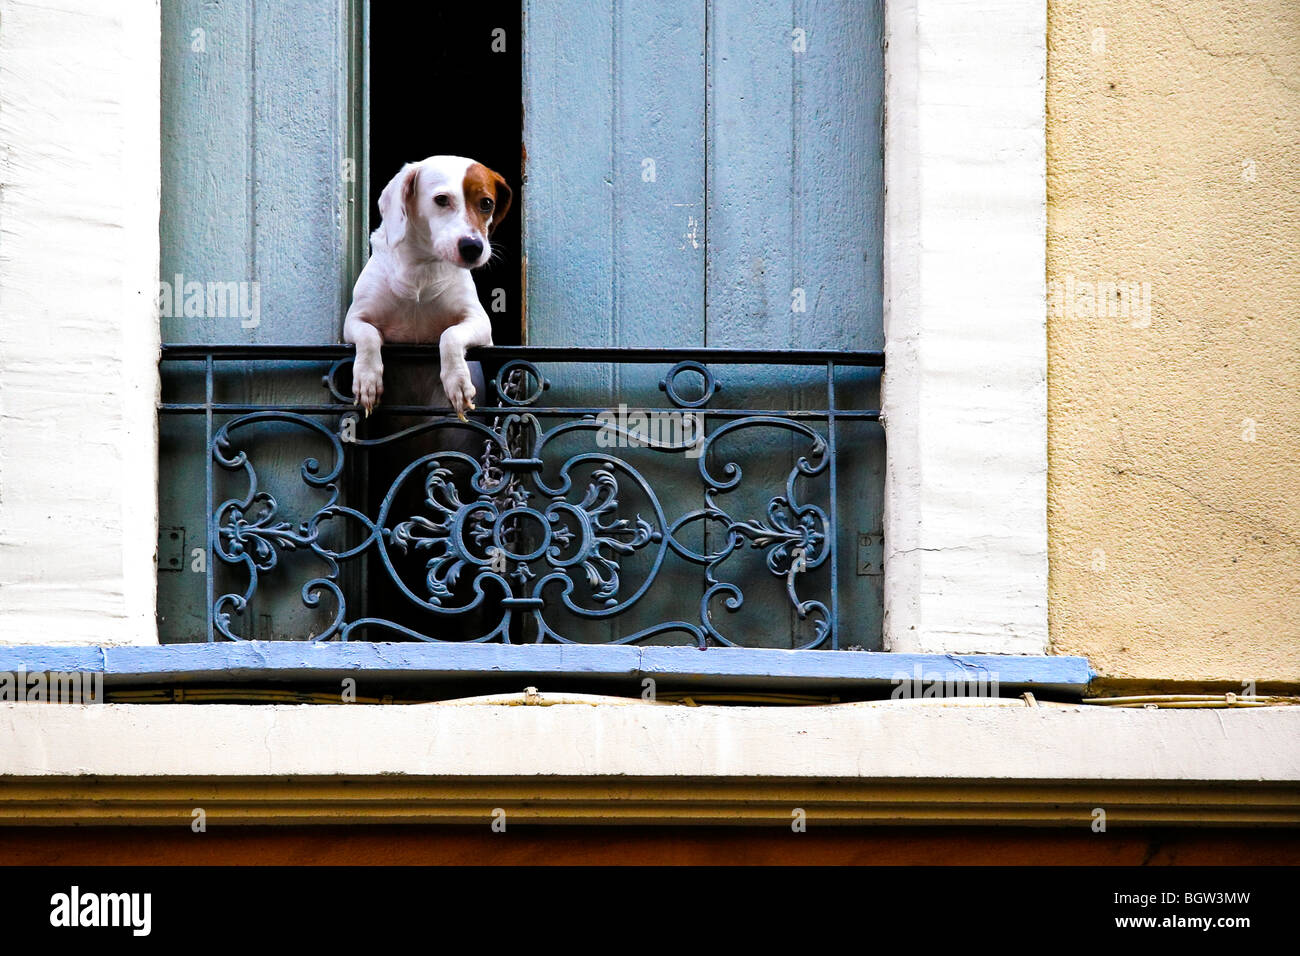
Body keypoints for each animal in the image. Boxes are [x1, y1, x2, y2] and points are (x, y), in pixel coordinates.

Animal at [345, 155, 512, 416]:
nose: (473, 247)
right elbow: (368, 334)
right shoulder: (354, 320)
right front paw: (367, 378)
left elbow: (450, 335)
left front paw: (458, 381)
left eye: (487, 203)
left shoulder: (482, 326)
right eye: (441, 199)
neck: (421, 269)